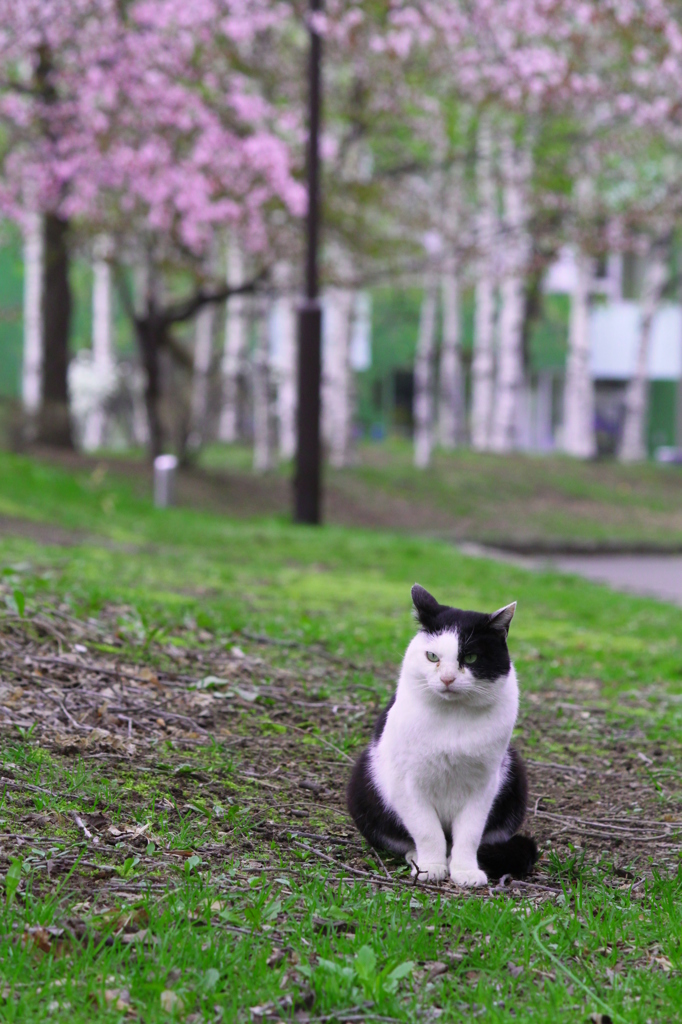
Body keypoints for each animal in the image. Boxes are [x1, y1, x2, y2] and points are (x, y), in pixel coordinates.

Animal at [348, 589, 532, 884]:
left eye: (471, 658)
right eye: (432, 656)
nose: (447, 678)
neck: (452, 716)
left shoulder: (485, 785)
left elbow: (469, 833)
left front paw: (465, 871)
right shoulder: (405, 783)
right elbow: (427, 830)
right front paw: (431, 867)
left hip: (515, 776)